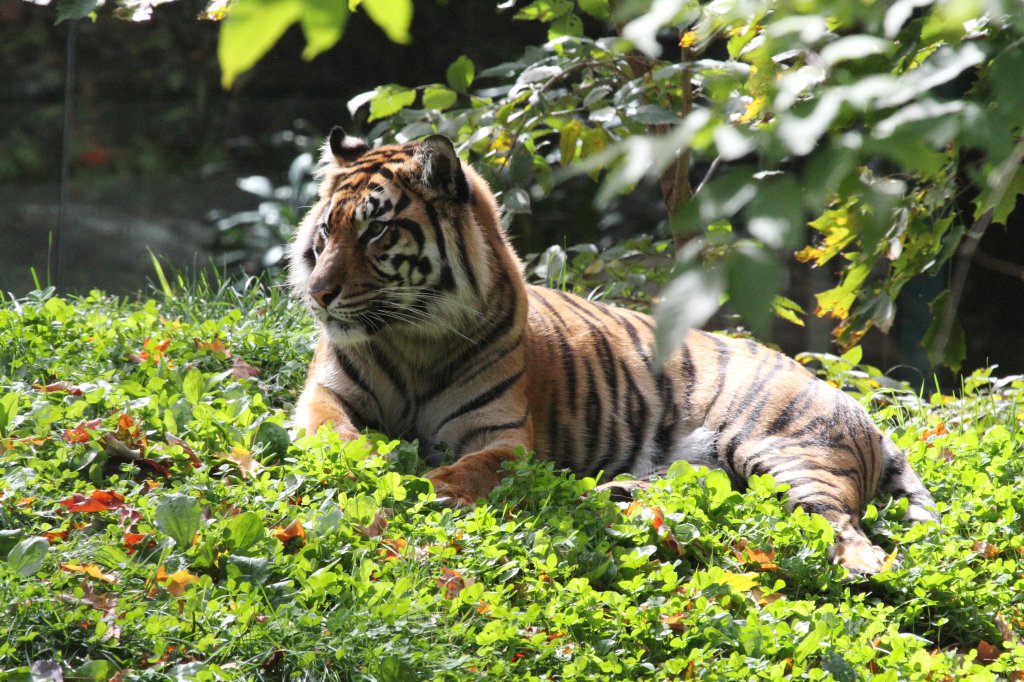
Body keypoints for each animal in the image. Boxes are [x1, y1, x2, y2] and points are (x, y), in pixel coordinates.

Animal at [286, 127, 937, 573]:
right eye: (327, 231)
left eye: (376, 230)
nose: (318, 293)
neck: (412, 338)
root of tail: (863, 415)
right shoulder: (323, 393)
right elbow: (333, 434)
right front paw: (366, 469)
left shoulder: (504, 436)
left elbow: (468, 471)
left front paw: (420, 492)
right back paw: (616, 493)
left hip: (785, 453)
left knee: (850, 531)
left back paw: (859, 568)